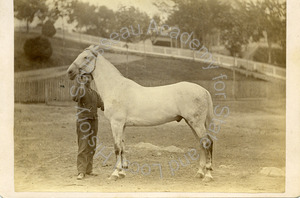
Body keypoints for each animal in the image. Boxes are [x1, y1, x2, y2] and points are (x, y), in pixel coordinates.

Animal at [67, 44, 214, 181]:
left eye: (86, 57)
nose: (69, 72)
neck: (115, 87)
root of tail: (204, 90)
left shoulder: (116, 124)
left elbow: (117, 148)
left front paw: (115, 174)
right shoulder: (122, 125)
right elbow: (122, 146)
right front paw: (122, 172)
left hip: (196, 123)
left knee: (207, 143)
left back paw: (208, 175)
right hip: (191, 123)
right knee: (201, 144)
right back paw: (200, 173)